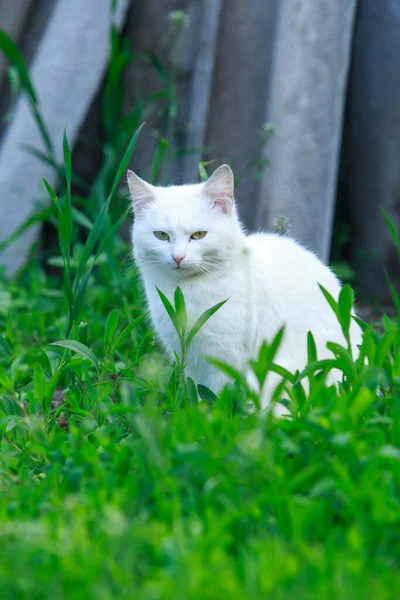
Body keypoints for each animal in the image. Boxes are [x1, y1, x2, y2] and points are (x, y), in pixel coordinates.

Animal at [129, 164, 362, 412]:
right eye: (161, 235)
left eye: (199, 235)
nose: (178, 257)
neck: (184, 292)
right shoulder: (191, 359)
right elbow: (199, 394)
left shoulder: (224, 359)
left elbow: (217, 398)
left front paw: (213, 418)